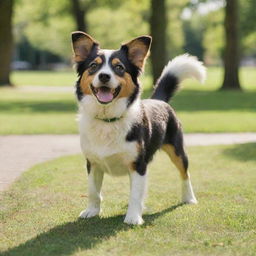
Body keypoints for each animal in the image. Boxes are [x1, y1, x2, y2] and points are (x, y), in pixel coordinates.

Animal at [70, 31, 206, 224]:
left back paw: (189, 198)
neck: (108, 119)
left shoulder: (138, 165)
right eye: (93, 66)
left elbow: (135, 193)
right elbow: (93, 191)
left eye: (119, 67)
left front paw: (133, 217)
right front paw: (92, 210)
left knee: (185, 174)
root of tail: (159, 100)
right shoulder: (92, 162)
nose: (104, 76)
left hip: (177, 150)